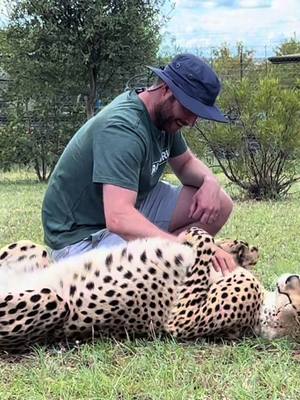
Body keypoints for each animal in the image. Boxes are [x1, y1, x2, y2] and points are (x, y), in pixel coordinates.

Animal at [0, 228, 298, 354]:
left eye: (295, 308)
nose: (292, 279)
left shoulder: (180, 320)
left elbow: (203, 241)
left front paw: (195, 234)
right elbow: (221, 248)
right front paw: (239, 248)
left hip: (55, 302)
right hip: (34, 249)